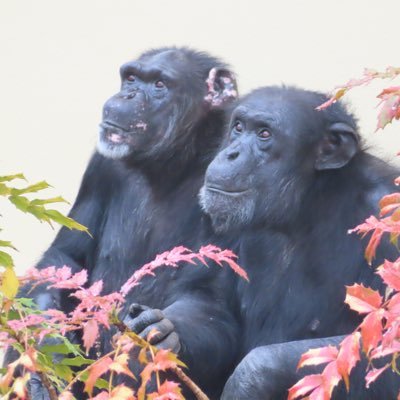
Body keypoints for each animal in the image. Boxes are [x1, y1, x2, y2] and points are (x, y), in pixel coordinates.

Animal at [16, 48, 241, 398]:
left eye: (160, 84)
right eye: (132, 78)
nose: (128, 95)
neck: (169, 162)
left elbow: (209, 298)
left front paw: (164, 330)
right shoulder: (100, 169)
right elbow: (67, 258)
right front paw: (49, 343)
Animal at [200, 86, 400, 396]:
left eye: (264, 134)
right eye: (239, 127)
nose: (231, 154)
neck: (308, 204)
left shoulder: (389, 216)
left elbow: (387, 350)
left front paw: (250, 379)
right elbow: (212, 308)